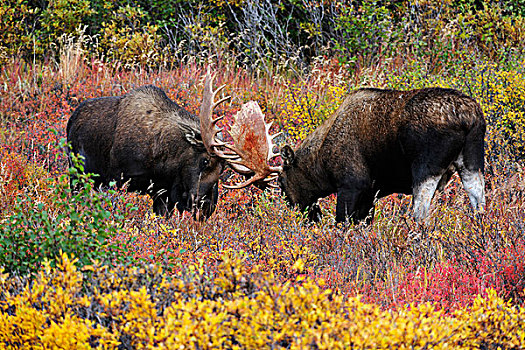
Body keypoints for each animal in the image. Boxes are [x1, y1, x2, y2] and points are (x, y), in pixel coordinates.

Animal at [217, 86, 484, 223]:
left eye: (282, 181)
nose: (308, 215)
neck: (320, 165)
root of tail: (467, 117)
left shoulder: (352, 185)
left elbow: (342, 222)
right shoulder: (371, 192)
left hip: (425, 167)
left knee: (420, 213)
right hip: (472, 161)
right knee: (479, 203)